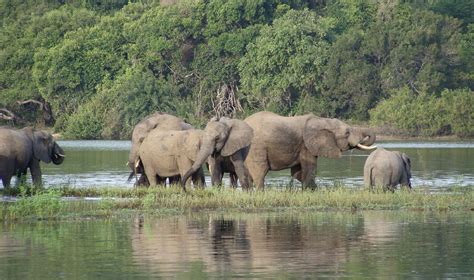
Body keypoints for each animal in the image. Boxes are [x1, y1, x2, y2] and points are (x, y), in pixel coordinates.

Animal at [244, 111, 378, 190]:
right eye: (347, 133)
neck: (323, 120)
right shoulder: (306, 145)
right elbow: (310, 168)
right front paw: (312, 191)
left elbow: (297, 173)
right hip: (256, 147)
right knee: (260, 171)